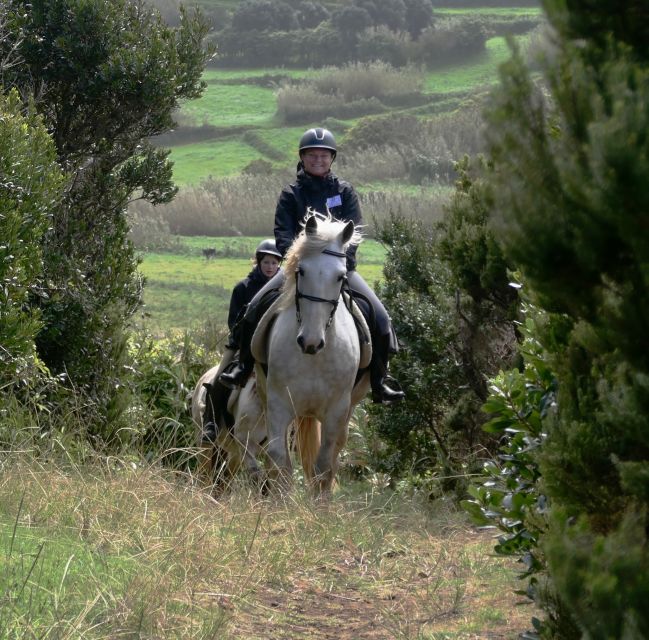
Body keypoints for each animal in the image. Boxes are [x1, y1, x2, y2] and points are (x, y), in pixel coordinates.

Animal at [251, 212, 370, 498]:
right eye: (301, 271)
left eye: (340, 277)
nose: (310, 342)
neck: (314, 358)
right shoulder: (279, 403)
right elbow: (279, 461)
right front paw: (281, 504)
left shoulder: (337, 411)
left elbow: (324, 466)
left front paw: (319, 506)